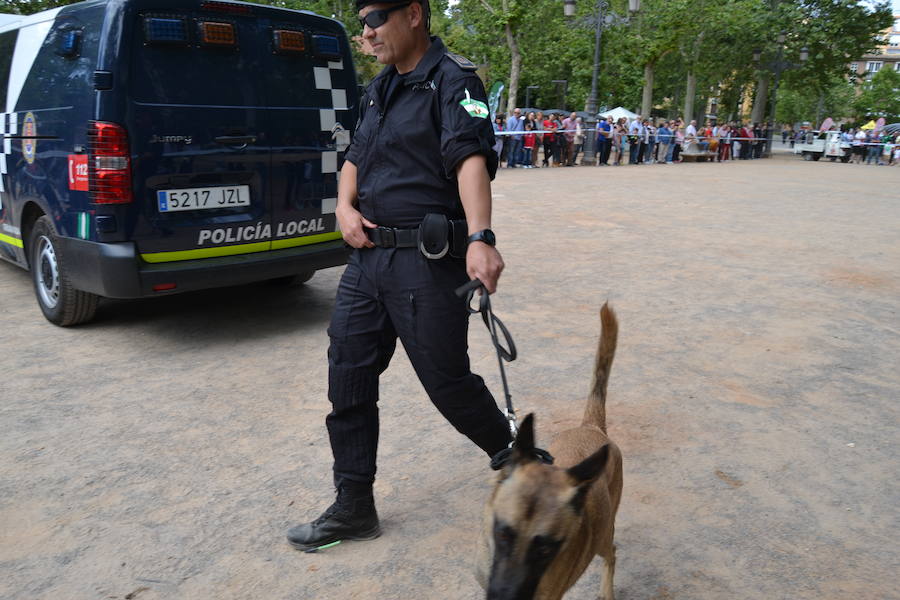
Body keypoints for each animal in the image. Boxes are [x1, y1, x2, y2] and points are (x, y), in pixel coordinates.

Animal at [478, 304, 620, 600]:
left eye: (545, 549)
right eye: (504, 534)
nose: (504, 596)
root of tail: (590, 426)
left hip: (603, 536)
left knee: (611, 552)